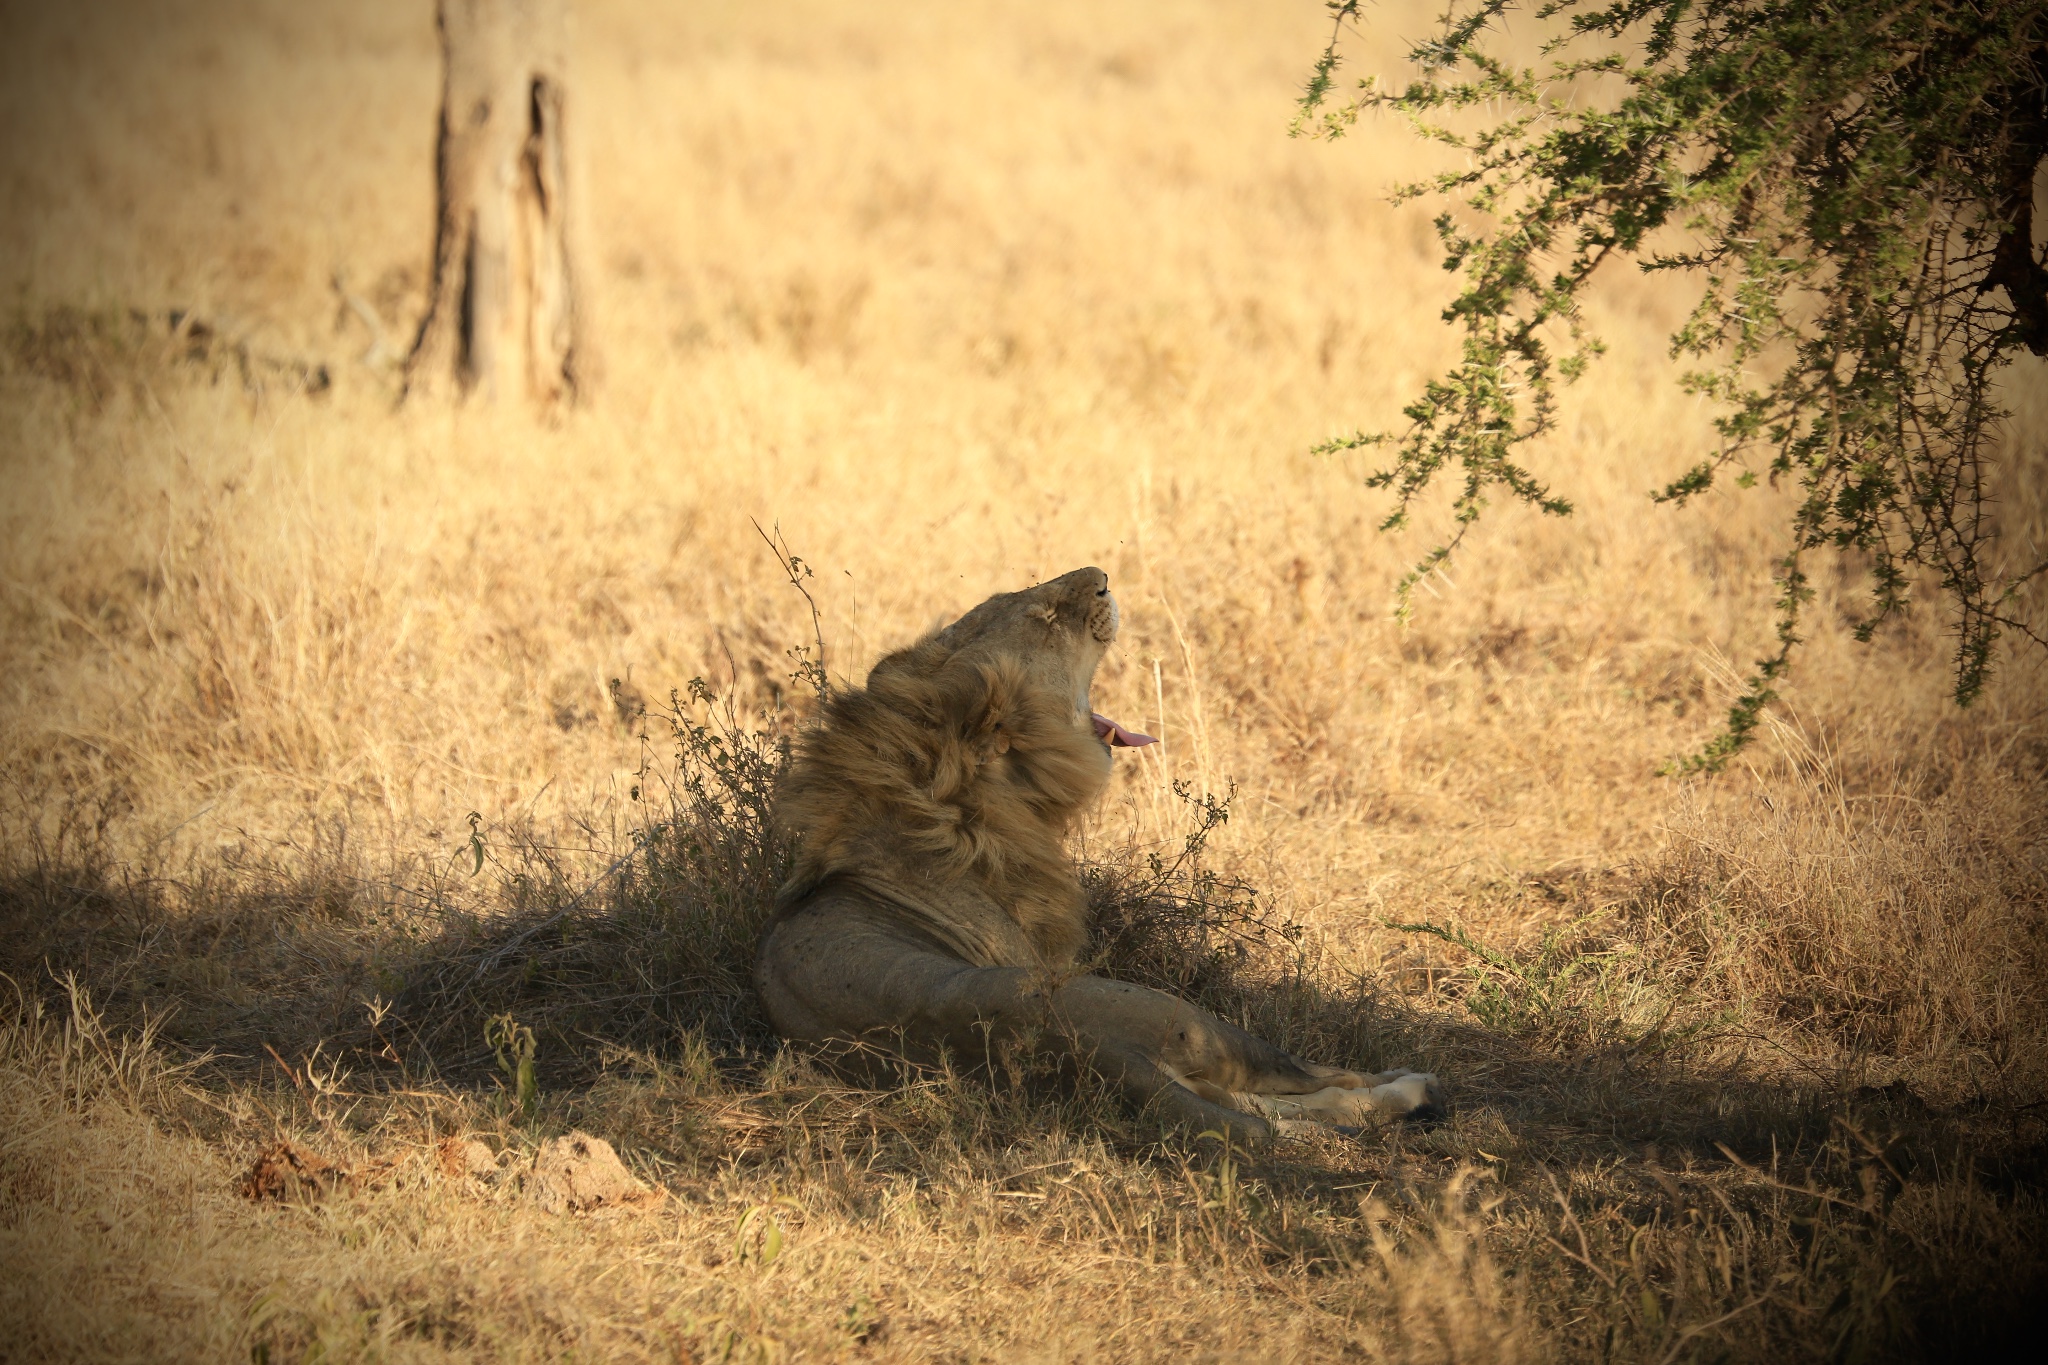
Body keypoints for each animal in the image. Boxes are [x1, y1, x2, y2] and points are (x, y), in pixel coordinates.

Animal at [753, 564, 1441, 1146]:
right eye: (1045, 616)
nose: (1103, 577)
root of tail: (1075, 1046)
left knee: (1270, 1115)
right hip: (1172, 1009)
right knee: (1307, 1081)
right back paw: (1412, 1087)